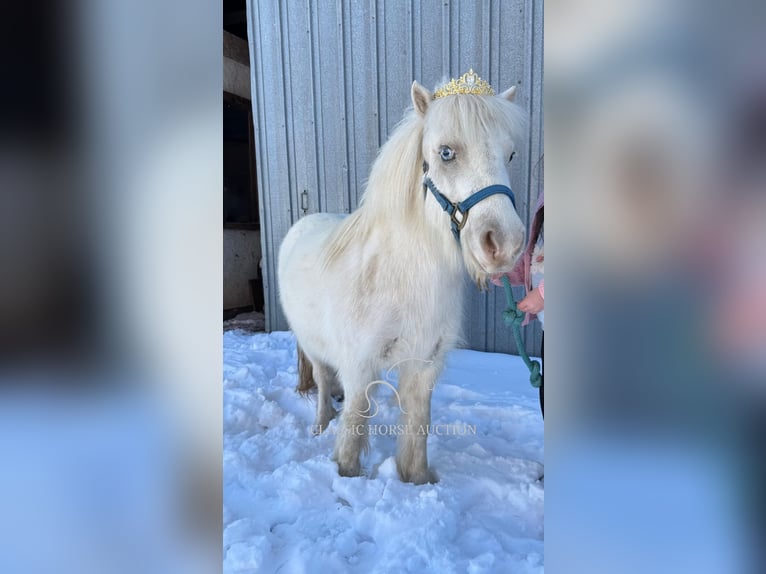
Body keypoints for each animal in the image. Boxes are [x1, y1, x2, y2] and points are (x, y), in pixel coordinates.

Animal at [280, 73, 528, 486]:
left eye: (510, 155)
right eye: (446, 153)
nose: (505, 245)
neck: (399, 278)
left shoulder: (423, 367)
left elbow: (416, 429)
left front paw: (416, 480)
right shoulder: (359, 366)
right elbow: (353, 428)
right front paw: (345, 474)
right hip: (313, 346)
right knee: (322, 380)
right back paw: (321, 423)